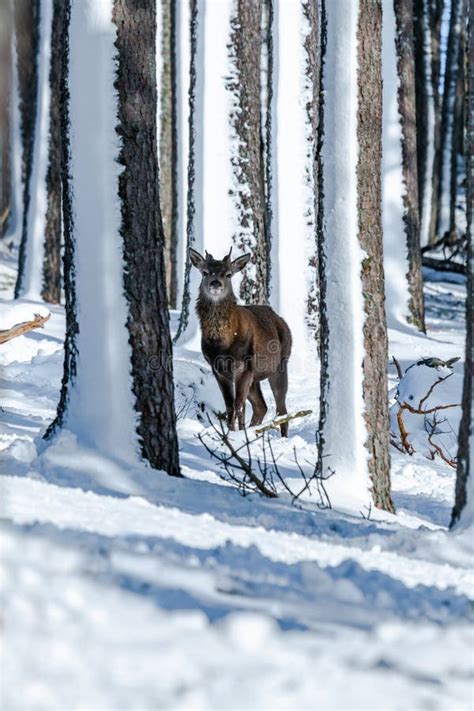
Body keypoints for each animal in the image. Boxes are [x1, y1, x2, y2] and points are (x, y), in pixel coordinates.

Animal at [189, 250, 292, 440]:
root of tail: (281, 320)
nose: (216, 283)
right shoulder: (218, 369)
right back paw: (253, 431)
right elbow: (230, 405)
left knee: (282, 410)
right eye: (205, 272)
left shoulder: (243, 366)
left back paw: (281, 437)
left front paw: (235, 434)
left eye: (228, 274)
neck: (223, 344)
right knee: (261, 406)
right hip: (255, 377)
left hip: (280, 365)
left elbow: (238, 404)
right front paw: (232, 433)